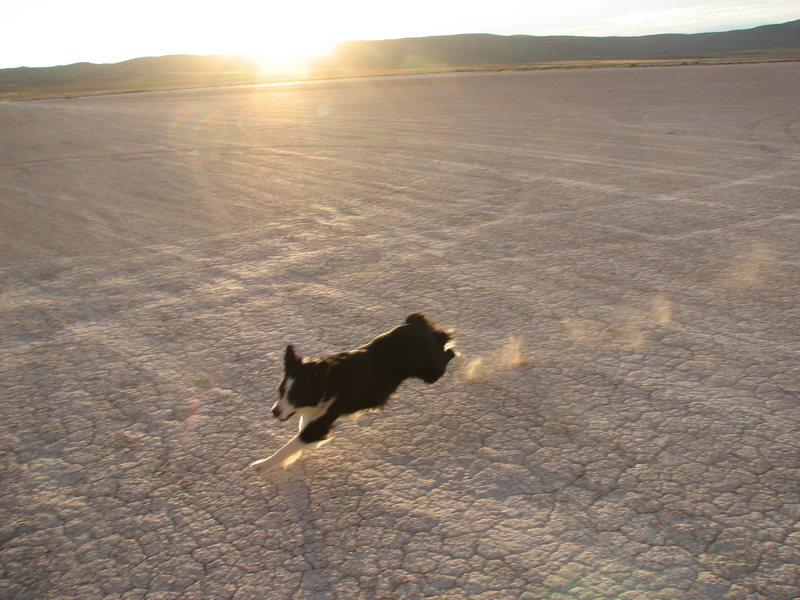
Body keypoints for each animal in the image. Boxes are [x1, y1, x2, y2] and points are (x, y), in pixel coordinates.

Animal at [247, 314, 454, 474]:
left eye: (297, 395)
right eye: (281, 391)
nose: (274, 412)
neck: (328, 382)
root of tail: (415, 322)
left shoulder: (322, 420)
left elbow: (291, 445)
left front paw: (262, 465)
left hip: (431, 371)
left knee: (447, 347)